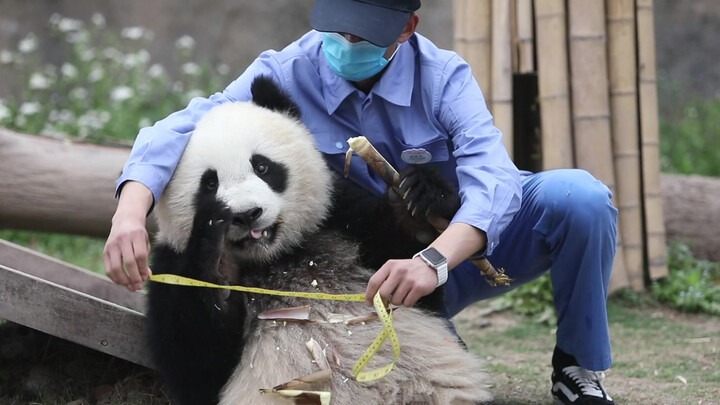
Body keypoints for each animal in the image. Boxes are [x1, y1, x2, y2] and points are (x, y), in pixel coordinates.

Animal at [146, 76, 496, 404]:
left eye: (262, 166)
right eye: (209, 184)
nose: (246, 215)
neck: (275, 257)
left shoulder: (340, 218)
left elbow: (412, 281)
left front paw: (418, 197)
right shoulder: (170, 264)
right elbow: (197, 364)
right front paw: (217, 263)